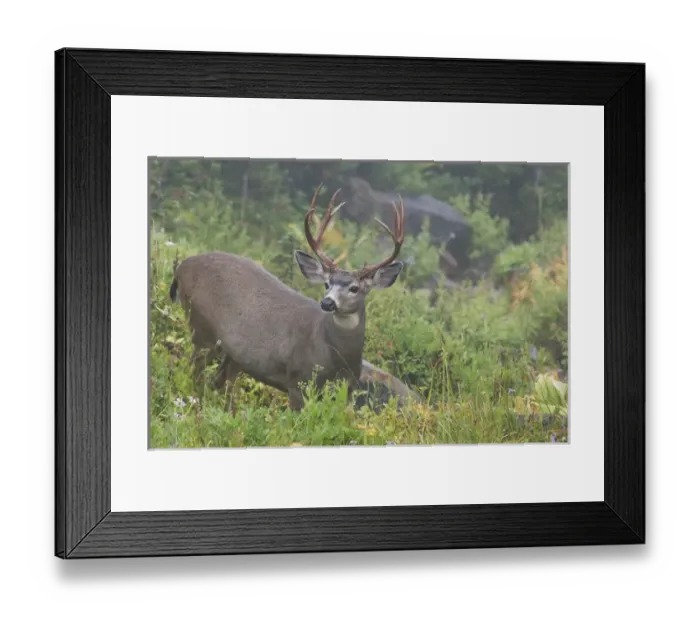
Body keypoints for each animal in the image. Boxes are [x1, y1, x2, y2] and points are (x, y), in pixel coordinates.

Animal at [168, 184, 406, 413]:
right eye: (327, 284)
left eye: (355, 288)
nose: (327, 302)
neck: (336, 356)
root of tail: (181, 267)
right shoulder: (297, 380)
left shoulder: (347, 389)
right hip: (202, 327)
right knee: (192, 371)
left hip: (233, 355)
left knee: (217, 381)